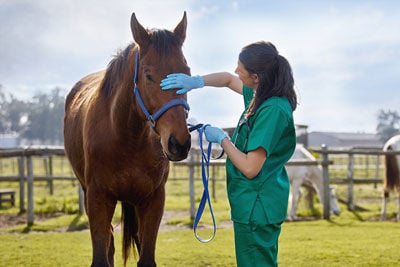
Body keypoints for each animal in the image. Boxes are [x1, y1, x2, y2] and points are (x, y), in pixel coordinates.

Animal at [63, 11, 191, 266]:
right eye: (148, 75)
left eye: (187, 72)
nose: (178, 143)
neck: (126, 138)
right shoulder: (97, 199)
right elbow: (102, 256)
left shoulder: (153, 200)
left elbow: (146, 256)